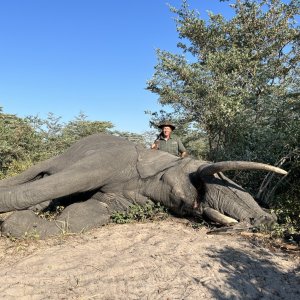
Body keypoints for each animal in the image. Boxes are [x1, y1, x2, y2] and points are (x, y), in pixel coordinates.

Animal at [0, 134, 286, 239]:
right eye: (220, 180)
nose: (266, 219)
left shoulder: (128, 199)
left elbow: (82, 216)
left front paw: (18, 222)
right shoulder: (113, 159)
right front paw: (10, 219)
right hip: (66, 153)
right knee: (39, 174)